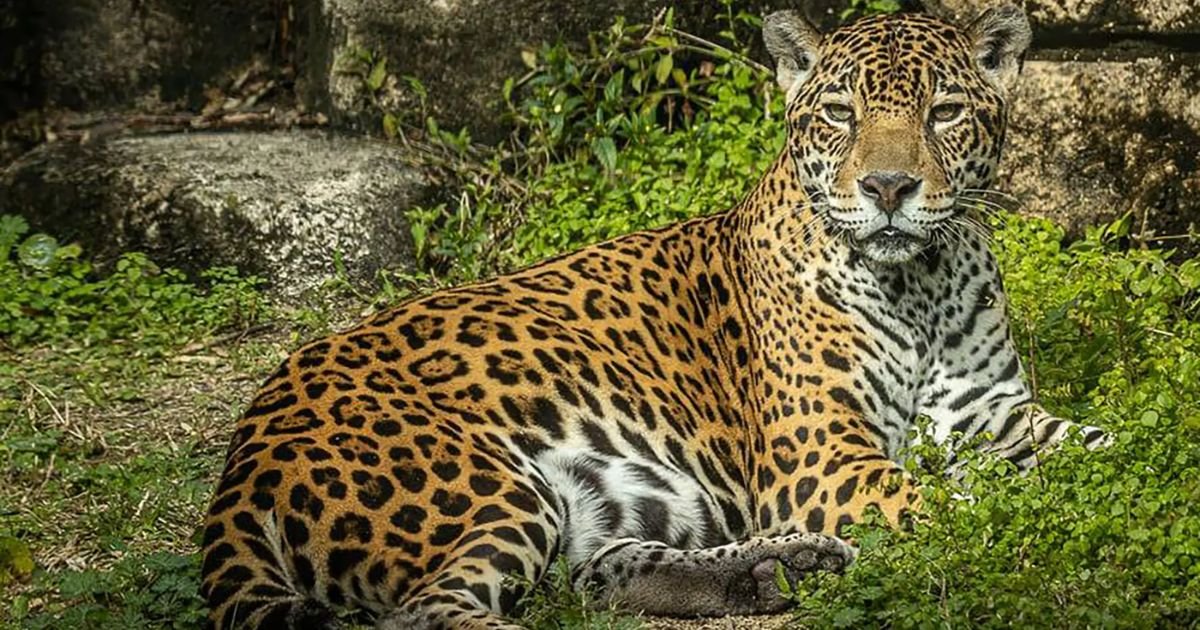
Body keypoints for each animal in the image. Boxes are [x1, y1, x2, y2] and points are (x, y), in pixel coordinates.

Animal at [200, 4, 1107, 628]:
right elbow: (952, 506)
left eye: (944, 112)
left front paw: (1124, 486)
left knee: (593, 576)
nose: (888, 188)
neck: (920, 284)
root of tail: (247, 445)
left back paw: (775, 571)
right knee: (427, 611)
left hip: (605, 498)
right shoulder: (824, 460)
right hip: (490, 488)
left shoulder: (993, 415)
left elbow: (1096, 447)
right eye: (840, 115)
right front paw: (1044, 529)